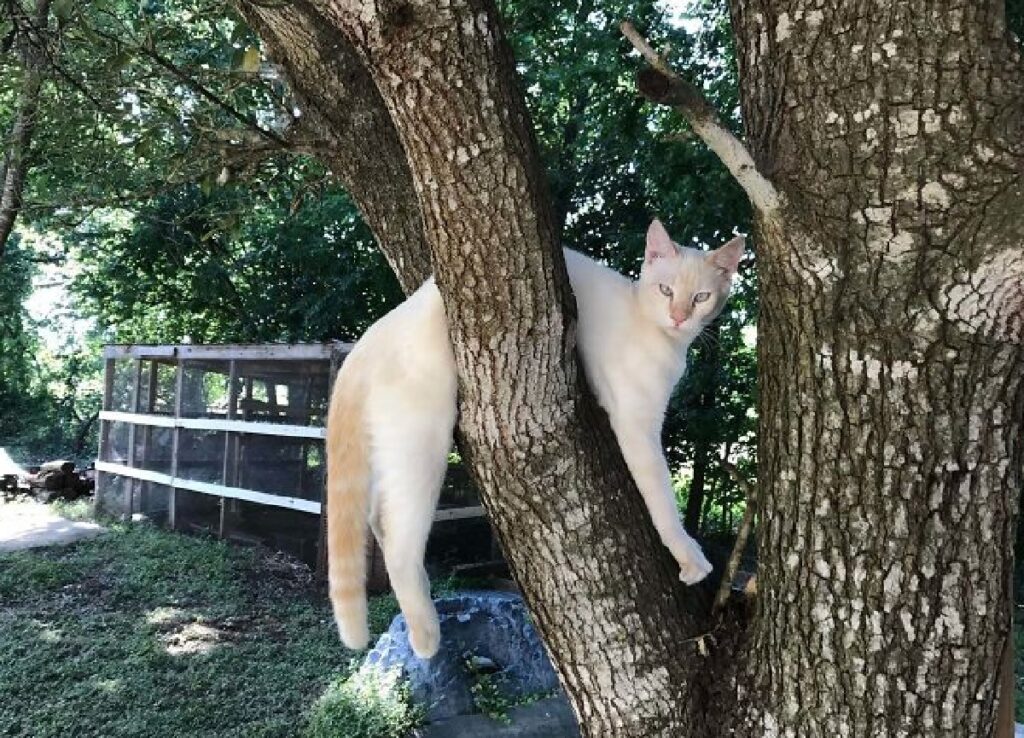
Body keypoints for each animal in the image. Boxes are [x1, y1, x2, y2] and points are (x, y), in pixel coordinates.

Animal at [327, 219, 745, 655]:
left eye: (700, 297)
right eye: (665, 290)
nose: (679, 316)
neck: (657, 333)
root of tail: (374, 334)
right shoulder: (637, 426)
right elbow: (662, 500)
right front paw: (689, 557)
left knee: (377, 517)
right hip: (424, 441)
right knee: (399, 544)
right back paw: (426, 635)